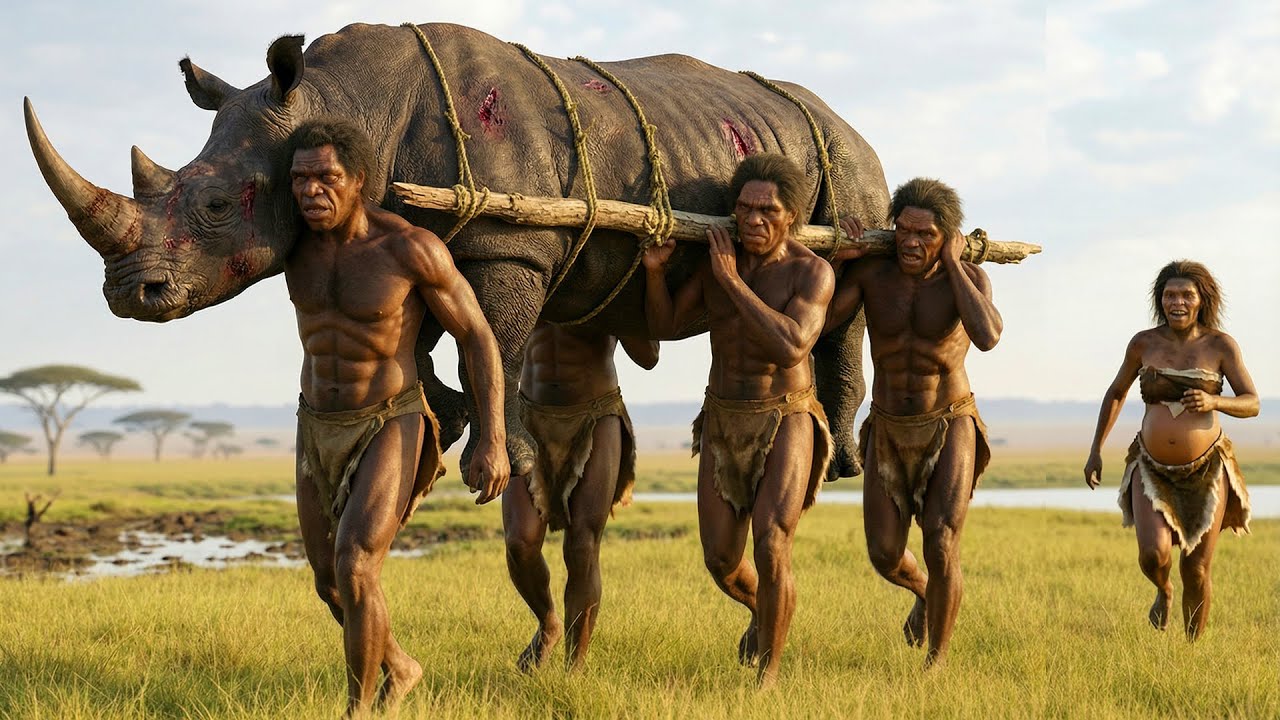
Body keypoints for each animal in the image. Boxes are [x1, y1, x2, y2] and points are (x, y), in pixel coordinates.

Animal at [24, 22, 888, 479]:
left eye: (211, 204)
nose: (129, 296)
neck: (347, 107)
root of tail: (846, 120)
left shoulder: (513, 243)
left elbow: (497, 344)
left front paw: (507, 465)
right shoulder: (422, 232)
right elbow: (432, 341)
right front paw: (443, 421)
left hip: (850, 166)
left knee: (843, 282)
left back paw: (841, 467)